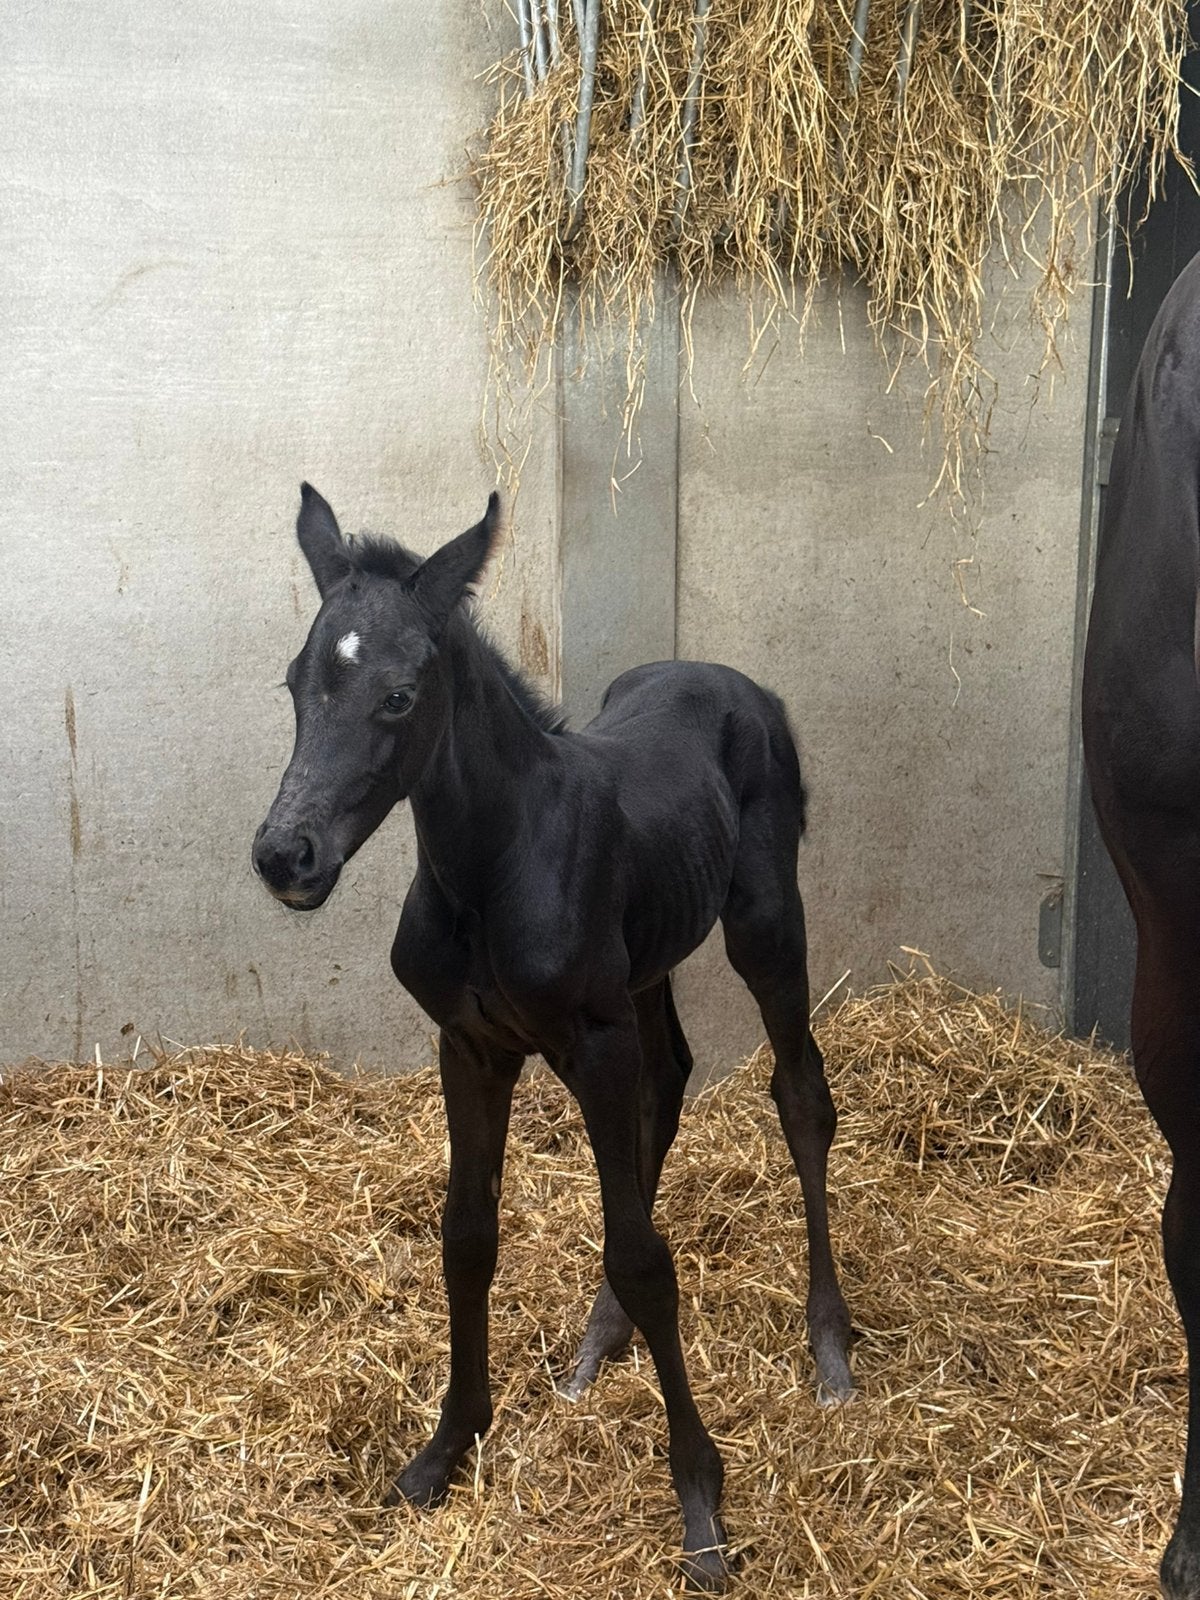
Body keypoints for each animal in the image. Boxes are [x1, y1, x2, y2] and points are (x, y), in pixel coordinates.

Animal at [252, 484, 855, 1588]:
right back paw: (597, 1340)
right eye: (296, 683)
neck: (488, 865)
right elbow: (467, 1237)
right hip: (648, 965)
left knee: (801, 1098)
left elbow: (646, 1258)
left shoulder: (593, 1042)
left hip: (763, 924)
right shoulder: (472, 1047)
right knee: (673, 1078)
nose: (286, 855)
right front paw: (446, 1447)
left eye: (399, 696)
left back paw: (829, 1346)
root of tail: (731, 677)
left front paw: (701, 1503)